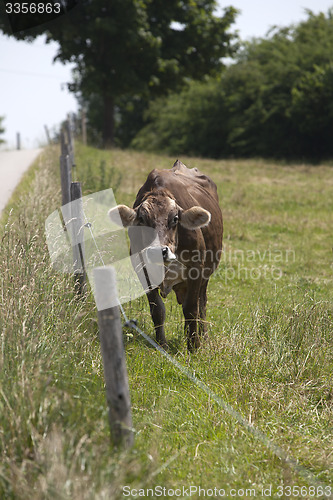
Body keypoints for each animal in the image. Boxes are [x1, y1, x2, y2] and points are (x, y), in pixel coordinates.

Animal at [109, 160, 223, 352]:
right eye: (142, 219)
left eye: (175, 219)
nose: (158, 251)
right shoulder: (143, 270)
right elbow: (157, 310)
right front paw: (161, 345)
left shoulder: (196, 270)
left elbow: (192, 309)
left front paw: (194, 347)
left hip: (206, 275)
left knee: (202, 304)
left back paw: (203, 336)